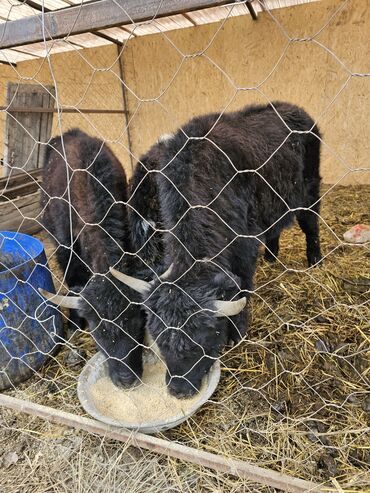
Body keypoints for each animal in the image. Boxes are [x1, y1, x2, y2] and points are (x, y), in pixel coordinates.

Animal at [111, 102, 322, 398]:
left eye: (202, 343)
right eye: (161, 342)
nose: (178, 390)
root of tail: (296, 111)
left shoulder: (244, 249)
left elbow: (242, 291)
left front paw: (238, 334)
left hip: (309, 193)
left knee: (311, 225)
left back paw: (315, 260)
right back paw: (271, 256)